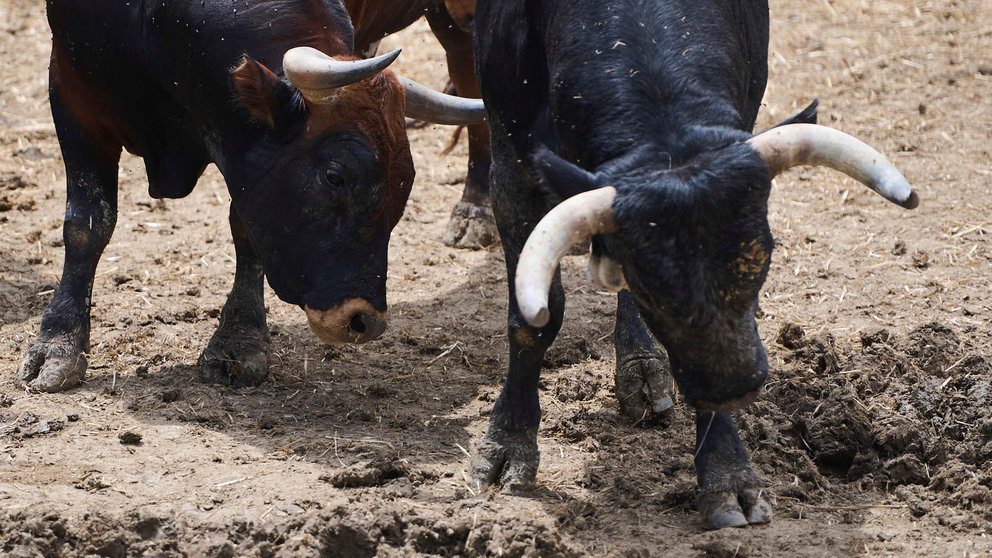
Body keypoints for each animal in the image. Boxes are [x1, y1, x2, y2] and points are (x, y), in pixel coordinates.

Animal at [472, 0, 916, 532]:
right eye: (653, 285)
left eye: (762, 256)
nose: (736, 387)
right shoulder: (511, 162)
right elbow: (535, 321)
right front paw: (507, 441)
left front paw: (728, 475)